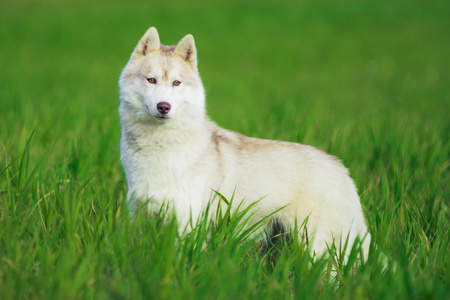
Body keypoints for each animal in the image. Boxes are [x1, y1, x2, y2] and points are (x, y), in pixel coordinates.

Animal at [118, 27, 370, 258]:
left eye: (176, 83)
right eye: (151, 80)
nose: (164, 106)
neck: (159, 147)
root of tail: (342, 170)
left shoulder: (185, 222)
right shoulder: (138, 215)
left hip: (317, 247)